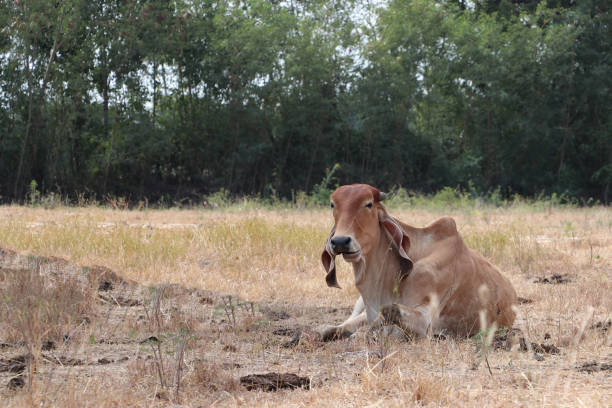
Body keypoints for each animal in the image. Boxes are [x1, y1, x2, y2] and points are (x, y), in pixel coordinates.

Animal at [320, 183, 516, 340]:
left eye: (368, 204)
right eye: (333, 204)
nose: (340, 241)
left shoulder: (425, 322)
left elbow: (387, 318)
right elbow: (330, 329)